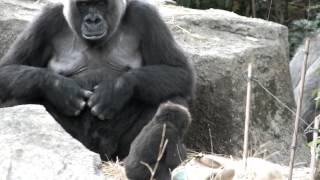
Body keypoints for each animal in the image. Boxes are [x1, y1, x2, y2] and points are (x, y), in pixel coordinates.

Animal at [0, 0, 195, 178]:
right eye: (84, 5)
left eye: (101, 4)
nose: (92, 20)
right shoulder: (47, 19)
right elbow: (8, 69)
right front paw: (62, 90)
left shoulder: (146, 15)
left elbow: (180, 72)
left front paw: (115, 91)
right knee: (20, 97)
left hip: (116, 154)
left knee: (171, 96)